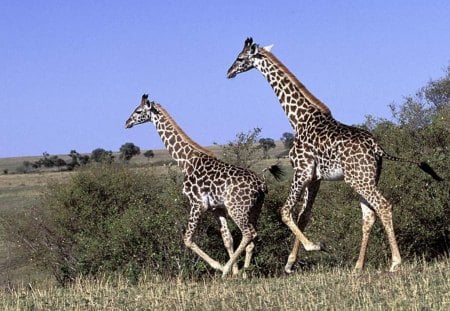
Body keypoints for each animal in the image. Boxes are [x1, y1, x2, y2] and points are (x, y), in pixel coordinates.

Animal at [125, 93, 284, 278]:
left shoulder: (196, 203)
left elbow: (187, 239)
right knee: (252, 238)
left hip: (237, 208)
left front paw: (221, 267)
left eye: (138, 111)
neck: (185, 161)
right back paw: (245, 273)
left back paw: (226, 271)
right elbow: (227, 239)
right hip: (255, 209)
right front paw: (235, 272)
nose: (126, 123)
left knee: (248, 234)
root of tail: (262, 184)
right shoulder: (217, 208)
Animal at [227, 37, 442, 274]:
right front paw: (291, 263)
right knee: (369, 216)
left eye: (240, 58)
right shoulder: (315, 178)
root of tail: (377, 148)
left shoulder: (301, 171)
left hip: (360, 180)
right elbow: (303, 216)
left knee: (383, 205)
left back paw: (395, 262)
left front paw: (314, 247)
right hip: (365, 178)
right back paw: (358, 266)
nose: (229, 72)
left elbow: (285, 211)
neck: (298, 119)